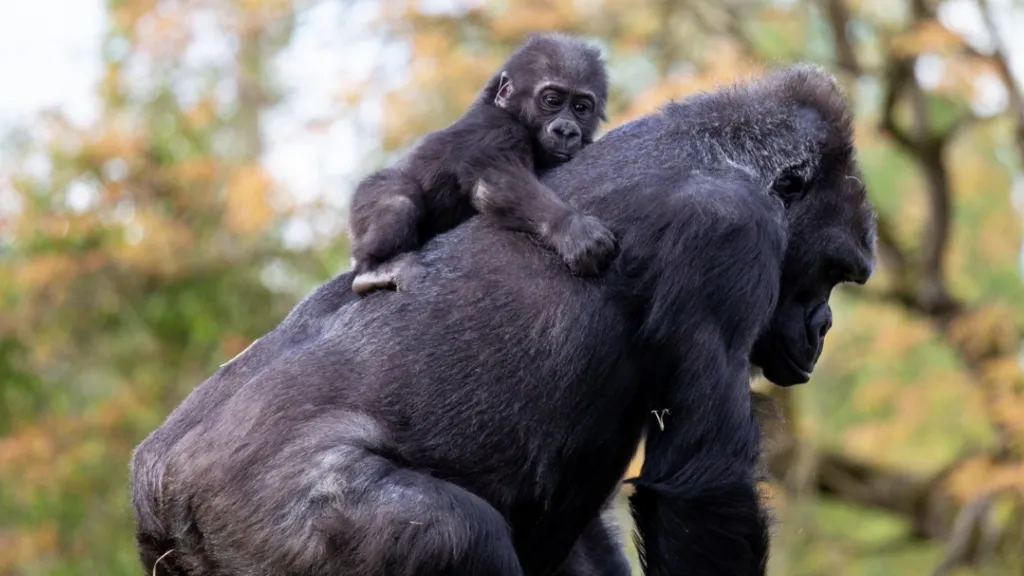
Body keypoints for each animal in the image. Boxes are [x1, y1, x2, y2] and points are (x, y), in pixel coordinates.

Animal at [346, 32, 615, 294]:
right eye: (552, 101)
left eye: (580, 107)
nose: (566, 130)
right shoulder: (497, 128)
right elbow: (497, 181)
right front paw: (571, 229)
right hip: (365, 197)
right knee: (398, 198)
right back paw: (375, 268)